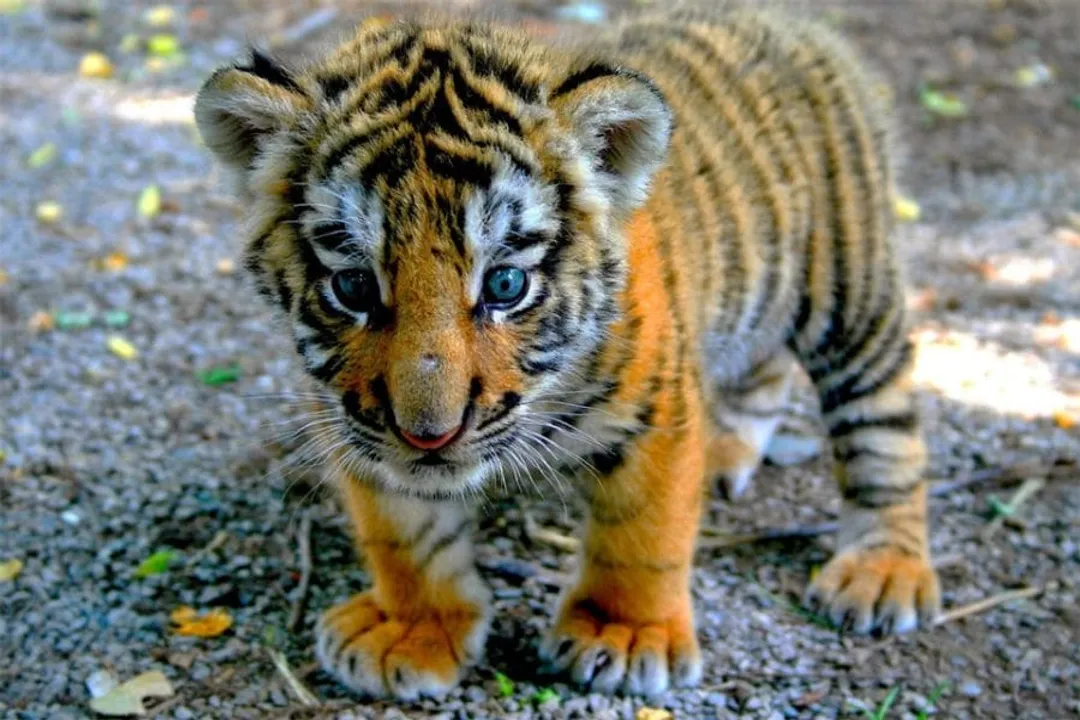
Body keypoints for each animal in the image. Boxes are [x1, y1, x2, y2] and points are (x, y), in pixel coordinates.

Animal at [194, 6, 941, 700]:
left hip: (851, 292)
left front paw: (625, 634)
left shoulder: (655, 408)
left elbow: (642, 533)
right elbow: (404, 534)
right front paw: (413, 629)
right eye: (352, 286)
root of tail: (785, 21)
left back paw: (883, 570)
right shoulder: (355, 420)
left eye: (505, 284)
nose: (430, 436)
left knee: (885, 427)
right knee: (763, 371)